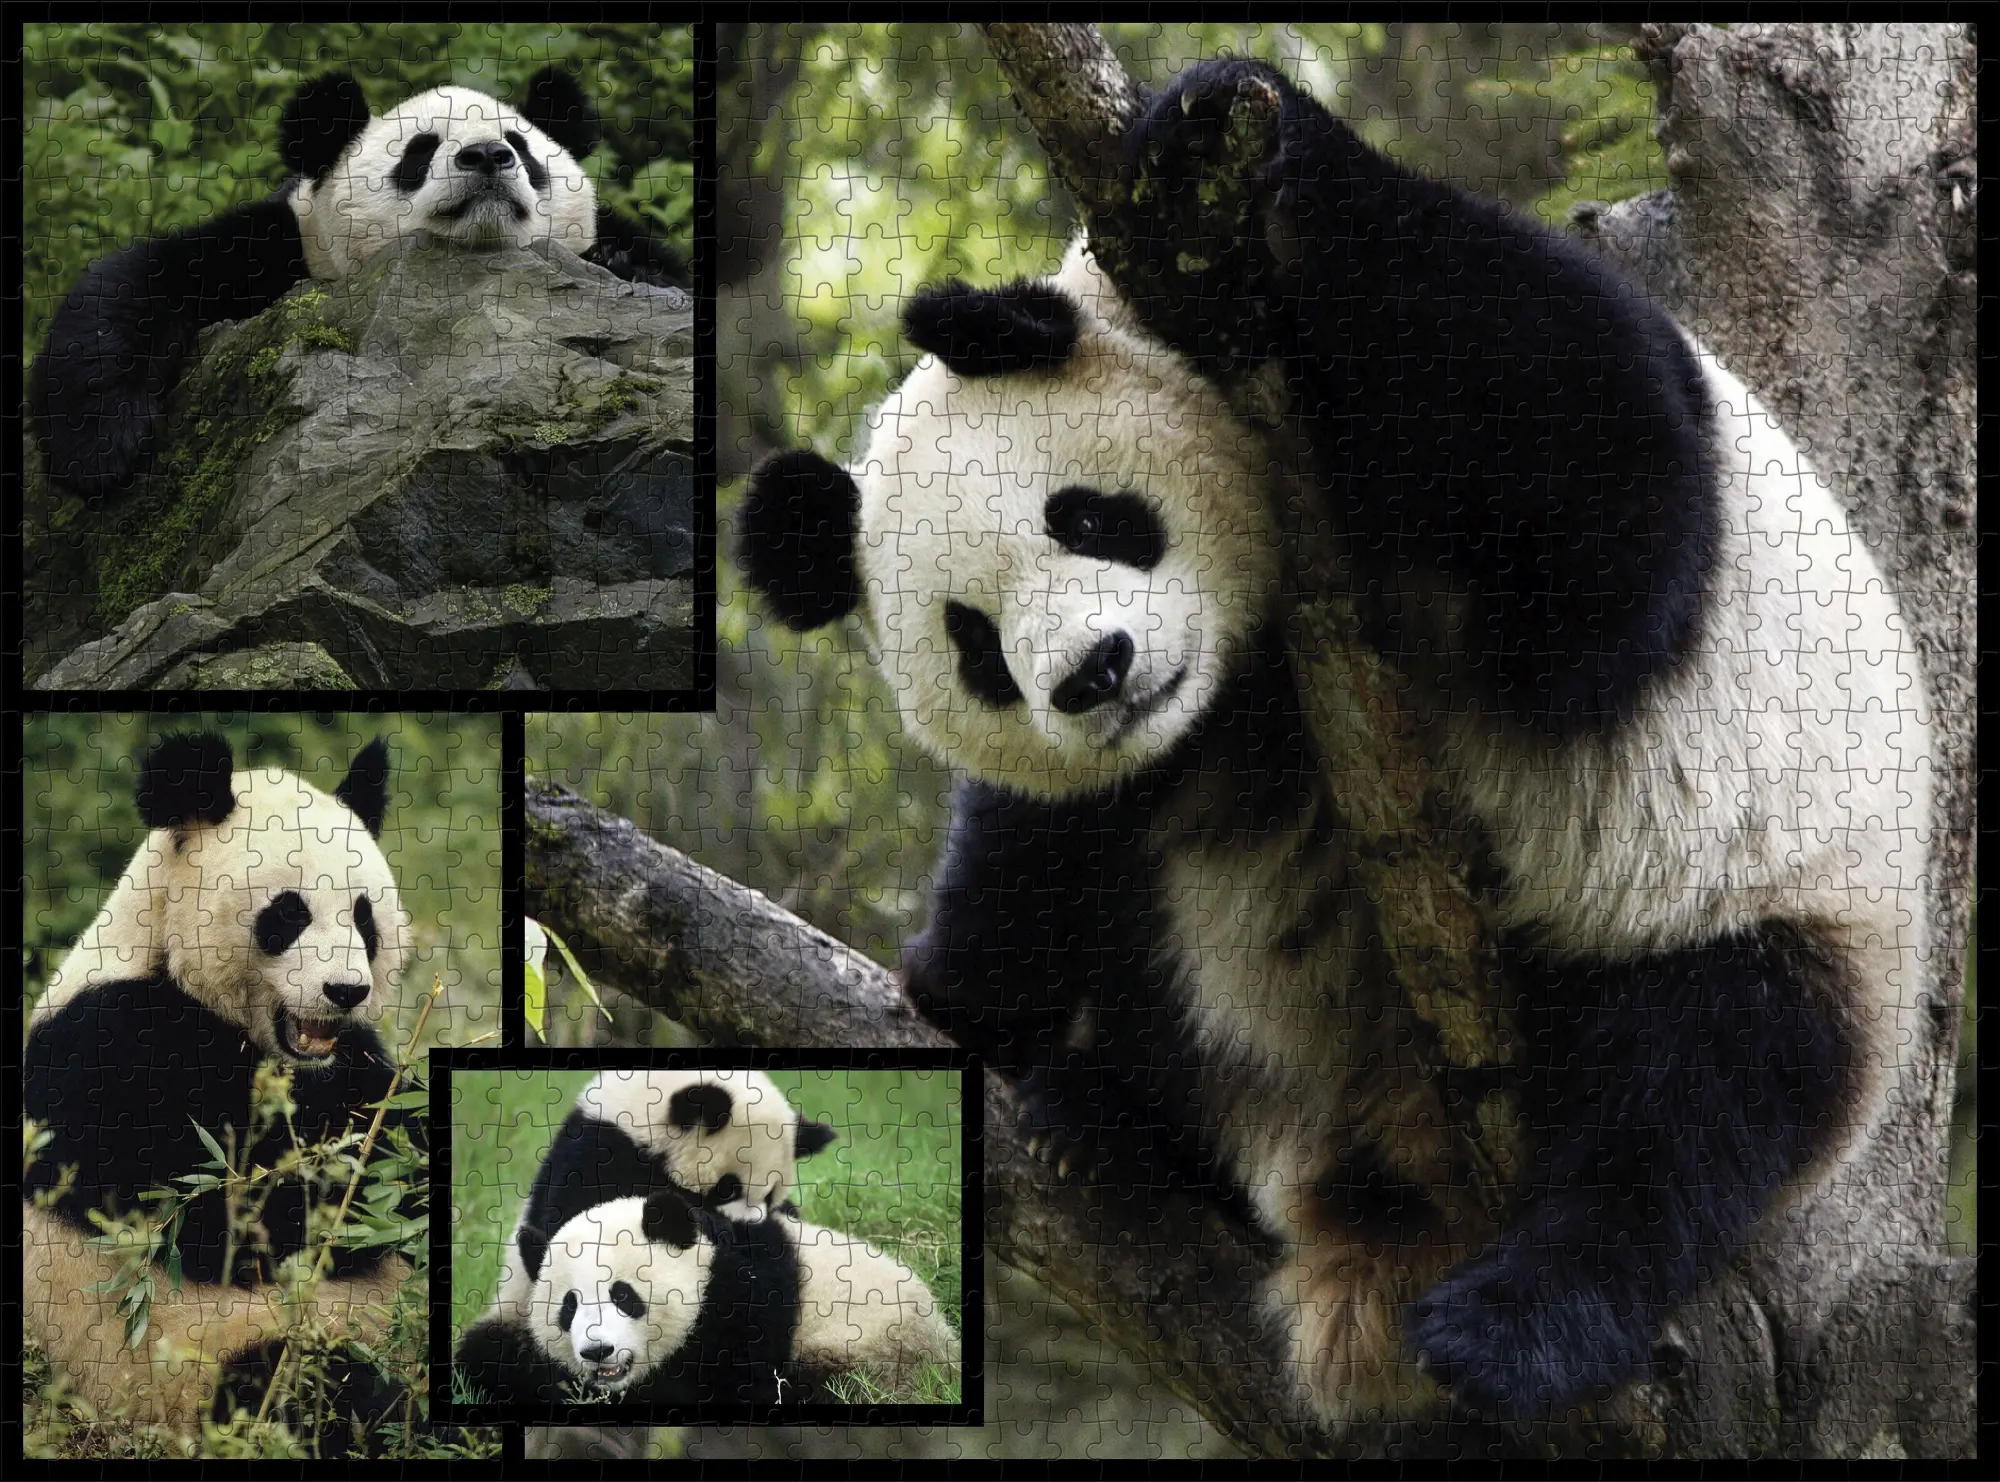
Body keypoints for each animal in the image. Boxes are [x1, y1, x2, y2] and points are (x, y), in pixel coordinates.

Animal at [22, 732, 423, 1449]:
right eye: (288, 913)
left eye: (364, 917)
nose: (346, 990)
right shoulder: (104, 1050)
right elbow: (210, 1218)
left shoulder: (350, 1062)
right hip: (188, 1368)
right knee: (308, 1385)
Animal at [31, 65, 687, 497]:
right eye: (419, 152)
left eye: (521, 147)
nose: (485, 156)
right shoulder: (283, 247)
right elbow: (136, 282)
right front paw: (101, 449)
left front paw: (628, 267)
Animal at [736, 58, 1934, 1426]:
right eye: (975, 646)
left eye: (1087, 518)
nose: (1095, 676)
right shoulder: (1175, 733)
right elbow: (1044, 834)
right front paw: (961, 990)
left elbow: (1599, 505)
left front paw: (1226, 127)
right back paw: (1114, 1128)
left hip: (1772, 909)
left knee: (1696, 1099)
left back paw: (1514, 1326)